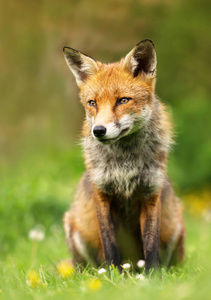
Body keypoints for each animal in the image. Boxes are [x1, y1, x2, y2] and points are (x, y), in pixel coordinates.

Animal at [62, 40, 185, 274]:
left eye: (123, 100)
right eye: (92, 103)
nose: (98, 131)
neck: (125, 164)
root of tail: (133, 266)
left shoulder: (150, 194)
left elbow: (151, 245)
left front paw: (153, 276)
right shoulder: (102, 194)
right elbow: (109, 244)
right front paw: (112, 275)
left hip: (176, 225)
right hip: (75, 230)